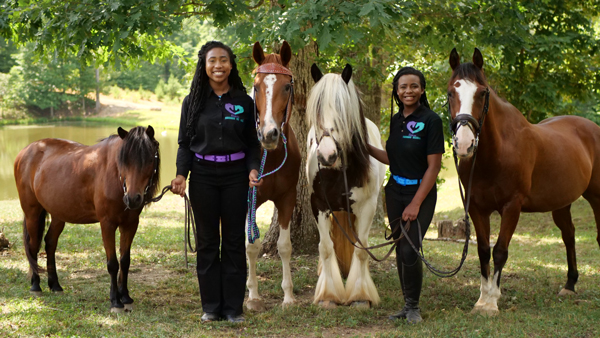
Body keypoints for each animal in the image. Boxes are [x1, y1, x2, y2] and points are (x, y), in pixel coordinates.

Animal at [14, 125, 159, 312]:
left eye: (149, 160)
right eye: (124, 161)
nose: (133, 198)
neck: (113, 175)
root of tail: (26, 150)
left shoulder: (130, 224)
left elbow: (125, 261)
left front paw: (125, 296)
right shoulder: (107, 224)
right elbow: (113, 264)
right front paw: (115, 301)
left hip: (58, 214)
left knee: (50, 243)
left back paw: (55, 285)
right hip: (32, 212)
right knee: (32, 247)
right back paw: (35, 286)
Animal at [308, 63, 386, 308]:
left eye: (343, 111)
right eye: (316, 109)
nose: (326, 155)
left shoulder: (367, 208)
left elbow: (361, 250)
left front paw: (360, 296)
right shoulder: (319, 205)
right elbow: (325, 248)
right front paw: (328, 295)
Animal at [448, 48, 600, 316]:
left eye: (482, 92)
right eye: (450, 92)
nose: (464, 144)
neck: (495, 153)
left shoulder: (512, 206)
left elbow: (500, 250)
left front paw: (492, 302)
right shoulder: (477, 207)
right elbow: (483, 250)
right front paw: (482, 300)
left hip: (597, 195)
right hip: (561, 203)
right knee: (569, 235)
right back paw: (569, 285)